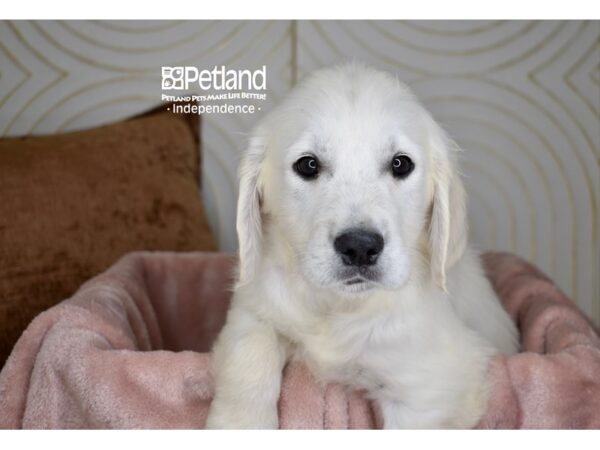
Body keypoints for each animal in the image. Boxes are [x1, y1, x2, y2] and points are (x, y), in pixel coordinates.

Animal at [205, 63, 516, 428]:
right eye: (308, 165)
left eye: (400, 164)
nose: (359, 247)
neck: (341, 307)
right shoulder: (254, 307)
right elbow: (251, 348)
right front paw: (238, 423)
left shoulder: (430, 387)